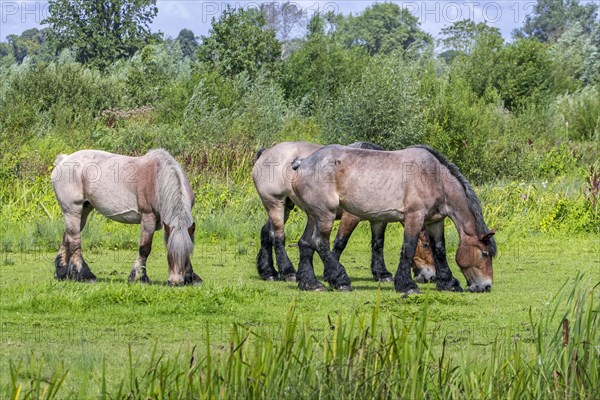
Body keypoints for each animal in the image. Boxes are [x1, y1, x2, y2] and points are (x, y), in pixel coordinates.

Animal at [49, 149, 199, 284]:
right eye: (170, 255)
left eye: (186, 255)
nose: (176, 282)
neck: (158, 179)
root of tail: (63, 159)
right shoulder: (148, 218)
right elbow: (144, 248)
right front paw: (139, 277)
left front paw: (192, 277)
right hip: (72, 211)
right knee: (75, 242)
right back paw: (85, 275)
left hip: (83, 212)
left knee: (67, 237)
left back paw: (62, 273)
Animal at [251, 142, 434, 290]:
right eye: (426, 245)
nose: (430, 277)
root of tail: (266, 152)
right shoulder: (350, 217)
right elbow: (340, 242)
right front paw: (331, 275)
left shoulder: (379, 219)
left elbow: (378, 244)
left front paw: (381, 274)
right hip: (276, 204)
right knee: (278, 237)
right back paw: (288, 272)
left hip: (286, 208)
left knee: (267, 232)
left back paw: (269, 272)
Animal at [290, 145, 496, 294]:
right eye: (485, 254)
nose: (486, 286)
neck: (434, 177)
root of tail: (303, 163)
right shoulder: (414, 216)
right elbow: (408, 248)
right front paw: (407, 285)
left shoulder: (434, 221)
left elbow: (440, 250)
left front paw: (448, 283)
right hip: (325, 214)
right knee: (320, 243)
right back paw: (341, 280)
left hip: (313, 215)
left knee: (306, 243)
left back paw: (310, 283)